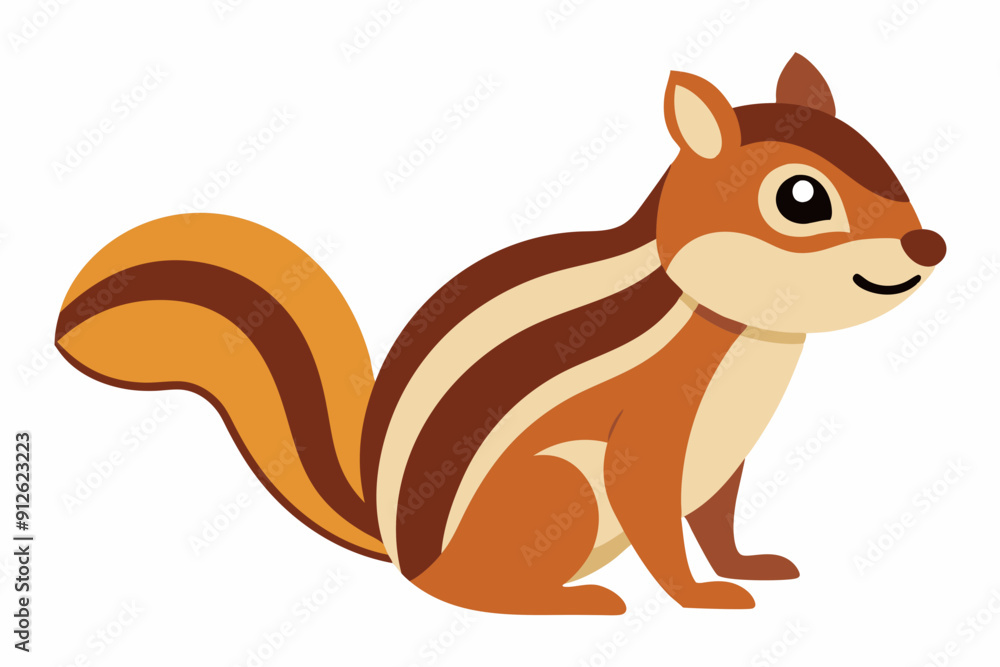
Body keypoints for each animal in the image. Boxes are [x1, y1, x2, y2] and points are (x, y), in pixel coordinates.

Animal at [55, 54, 946, 614]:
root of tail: (399, 551)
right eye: (801, 198)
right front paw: (701, 597)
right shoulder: (651, 435)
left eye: (877, 154)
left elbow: (717, 520)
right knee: (471, 593)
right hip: (559, 489)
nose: (929, 245)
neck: (744, 329)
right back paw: (576, 603)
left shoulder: (721, 456)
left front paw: (746, 566)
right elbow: (658, 521)